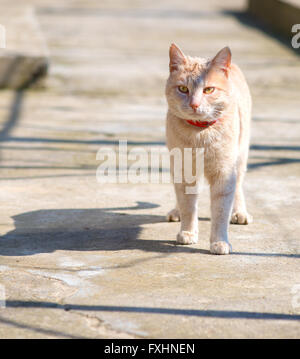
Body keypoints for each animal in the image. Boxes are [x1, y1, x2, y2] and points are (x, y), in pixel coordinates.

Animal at [165, 43, 252, 255]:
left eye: (209, 89)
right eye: (183, 89)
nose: (194, 104)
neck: (200, 134)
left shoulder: (224, 173)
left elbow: (220, 211)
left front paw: (220, 242)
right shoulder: (184, 171)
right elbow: (188, 205)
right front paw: (188, 232)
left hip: (240, 156)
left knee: (238, 186)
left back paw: (239, 212)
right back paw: (176, 211)